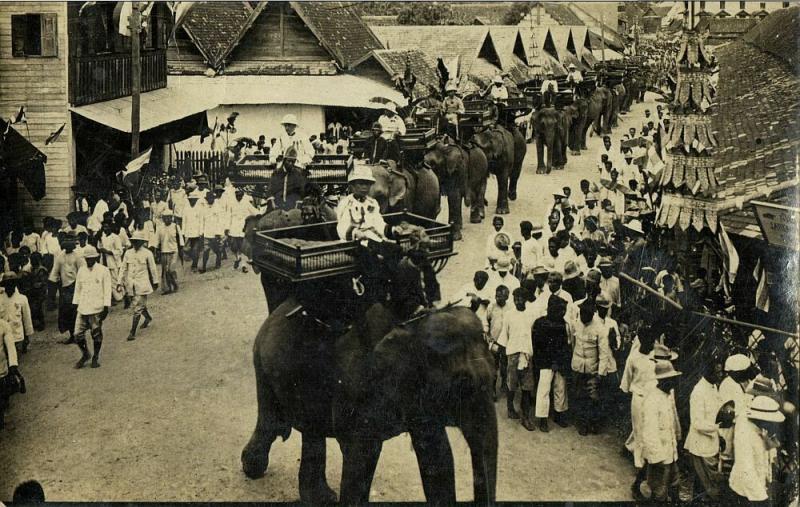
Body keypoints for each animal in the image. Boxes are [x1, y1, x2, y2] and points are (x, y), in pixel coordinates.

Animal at [241, 302, 496, 504]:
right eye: (463, 386)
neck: (412, 325)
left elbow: (437, 456)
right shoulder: (357, 386)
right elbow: (360, 456)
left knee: (311, 432)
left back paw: (320, 498)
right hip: (263, 368)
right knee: (270, 422)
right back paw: (252, 468)